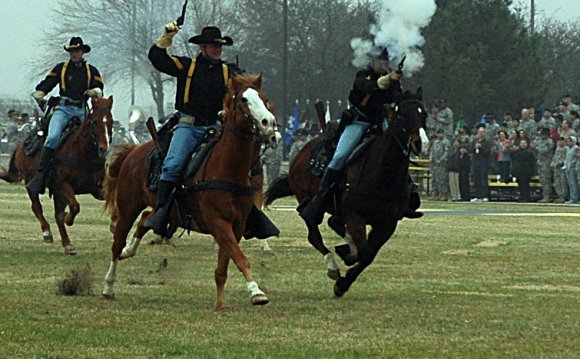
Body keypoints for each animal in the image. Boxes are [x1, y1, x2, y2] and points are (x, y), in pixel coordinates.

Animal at [0, 97, 113, 256]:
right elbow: (75, 207)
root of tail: (22, 144)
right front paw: (68, 219)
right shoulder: (63, 185)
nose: (104, 148)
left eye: (110, 121)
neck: (83, 153)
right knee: (37, 207)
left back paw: (67, 245)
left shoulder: (98, 188)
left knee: (56, 215)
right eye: (94, 121)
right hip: (31, 183)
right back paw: (48, 233)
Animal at [101, 74, 278, 310]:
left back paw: (129, 250)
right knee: (117, 243)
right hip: (128, 207)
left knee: (146, 219)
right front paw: (256, 292)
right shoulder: (218, 223)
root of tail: (133, 151)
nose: (269, 124)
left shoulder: (237, 225)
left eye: (265, 98)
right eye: (243, 100)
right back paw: (109, 286)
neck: (228, 168)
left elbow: (224, 265)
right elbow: (240, 258)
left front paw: (221, 302)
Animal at [266, 89, 428, 298]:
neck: (382, 172)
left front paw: (344, 281)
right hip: (307, 200)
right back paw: (333, 266)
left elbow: (368, 255)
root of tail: (301, 152)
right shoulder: (354, 216)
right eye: (403, 114)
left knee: (333, 222)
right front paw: (344, 266)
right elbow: (364, 251)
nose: (421, 143)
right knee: (314, 234)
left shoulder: (387, 224)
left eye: (424, 114)